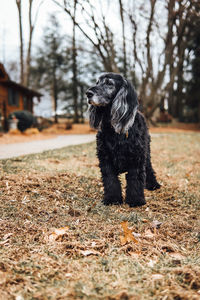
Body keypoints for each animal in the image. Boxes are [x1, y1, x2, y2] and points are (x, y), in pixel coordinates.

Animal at [85, 72, 160, 206]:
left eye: (109, 83)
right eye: (97, 82)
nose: (88, 93)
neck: (115, 130)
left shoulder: (137, 158)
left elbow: (135, 179)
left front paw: (136, 200)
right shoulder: (105, 159)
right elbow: (111, 180)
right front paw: (112, 199)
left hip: (147, 152)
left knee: (149, 168)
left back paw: (153, 185)